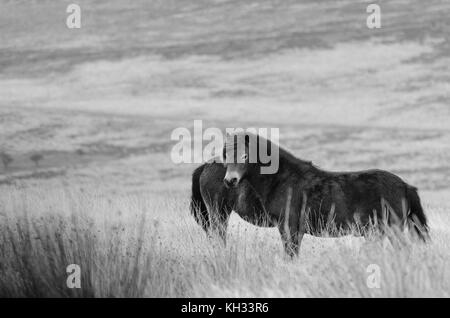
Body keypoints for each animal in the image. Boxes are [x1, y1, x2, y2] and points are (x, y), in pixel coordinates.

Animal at [190, 132, 428, 256]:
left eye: (246, 155)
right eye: (225, 154)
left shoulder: (290, 229)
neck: (283, 179)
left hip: (392, 229)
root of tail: (405, 186)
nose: (230, 181)